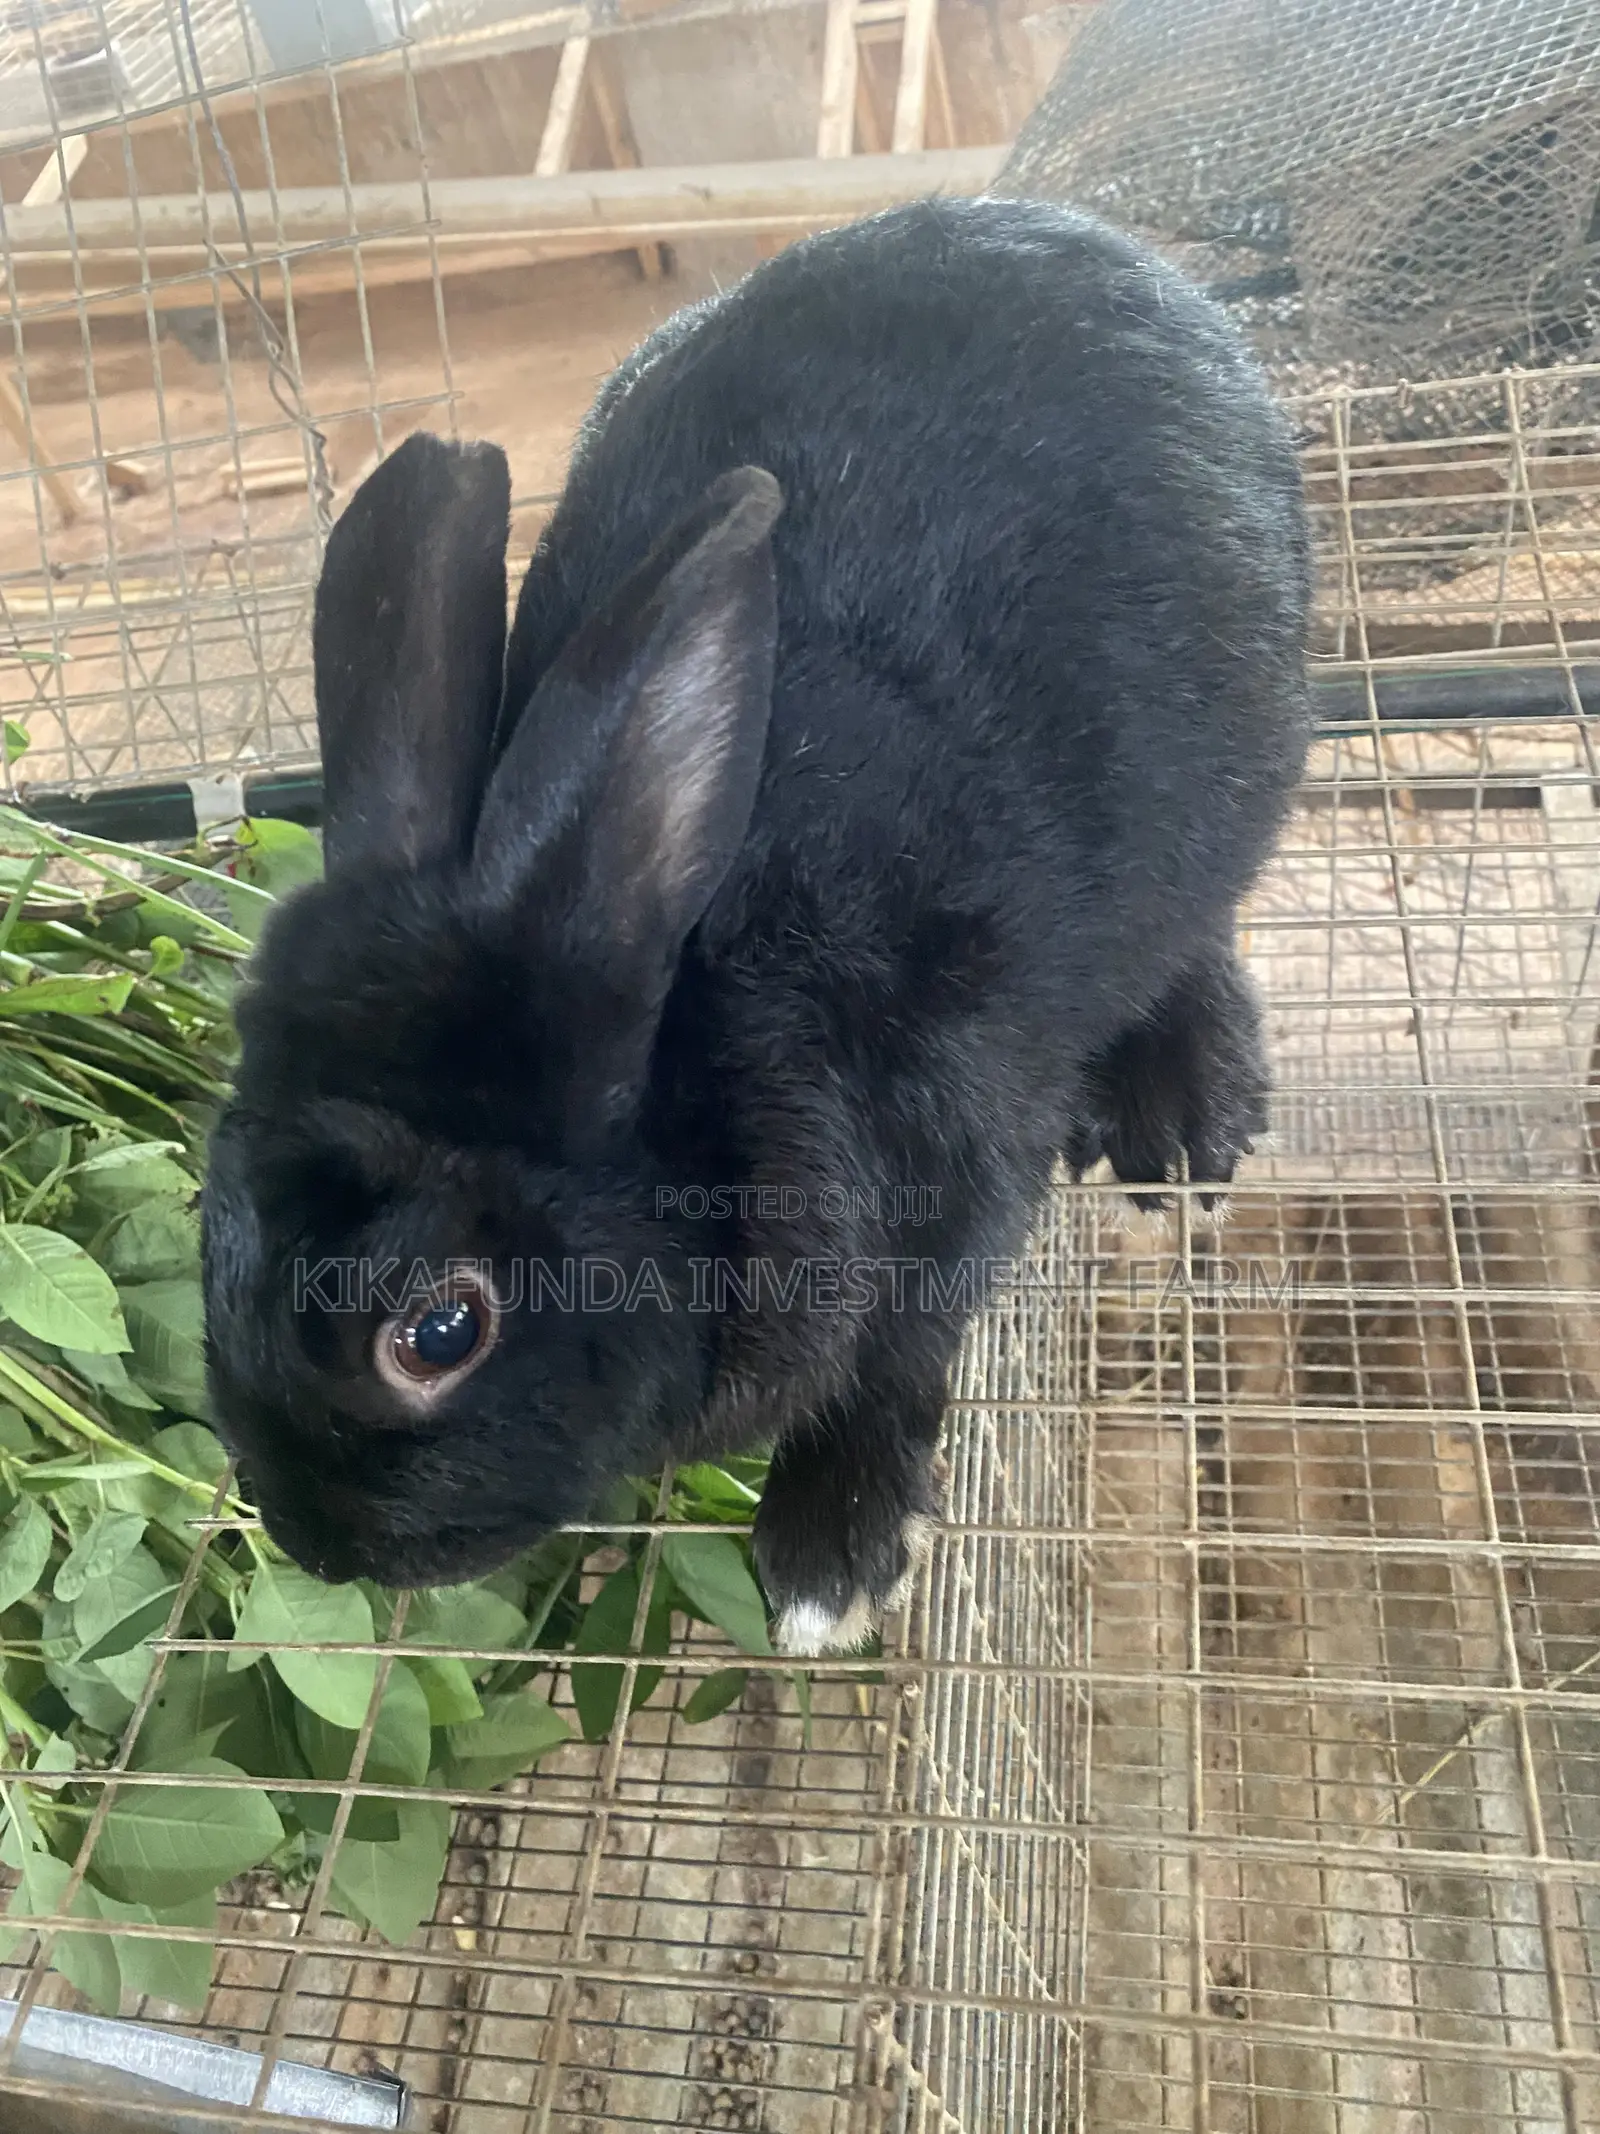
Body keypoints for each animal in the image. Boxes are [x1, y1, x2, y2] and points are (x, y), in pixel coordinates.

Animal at [201, 195, 1312, 1652]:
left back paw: (1180, 1122)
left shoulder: (955, 1186)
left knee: (1200, 933)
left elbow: (898, 1361)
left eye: (441, 1332)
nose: (316, 1543)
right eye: (208, 1219)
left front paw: (830, 1560)